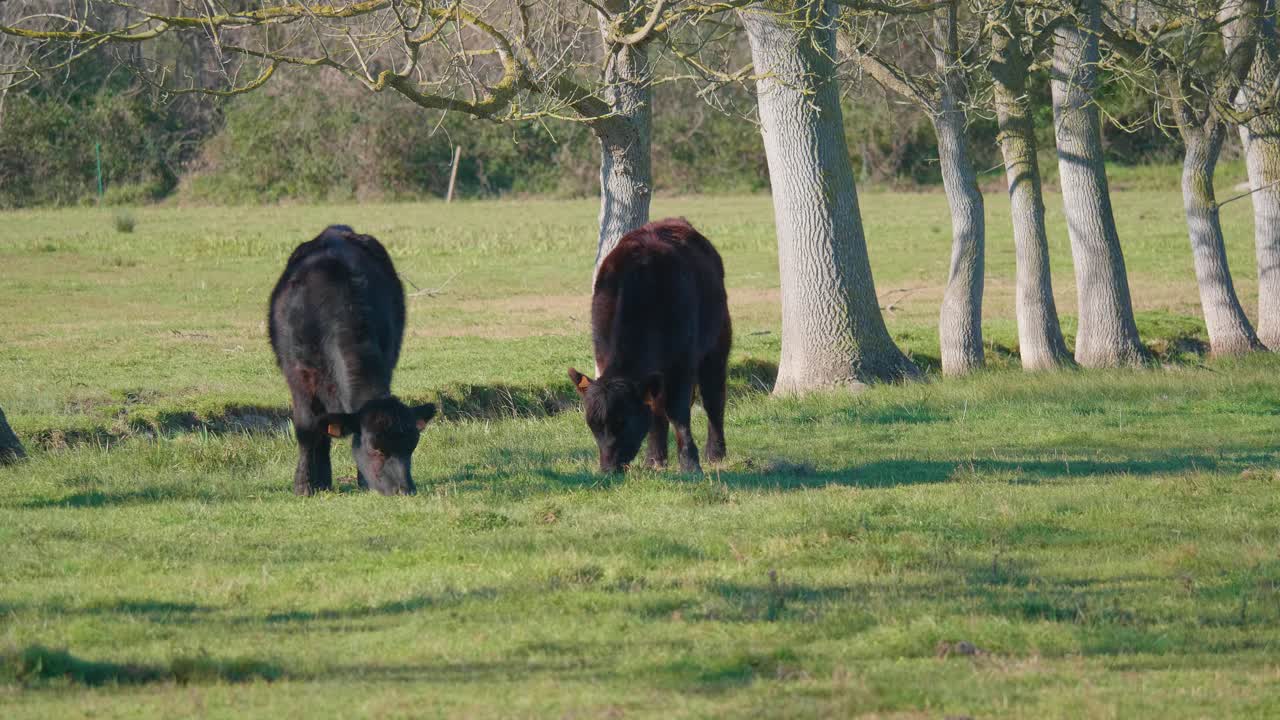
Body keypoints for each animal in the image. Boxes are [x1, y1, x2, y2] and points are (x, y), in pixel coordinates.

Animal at [269, 225, 435, 496]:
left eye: (412, 446)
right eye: (374, 448)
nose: (404, 489)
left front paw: (363, 483)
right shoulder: (299, 376)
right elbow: (307, 430)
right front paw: (306, 484)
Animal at [569, 218, 732, 474]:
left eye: (623, 421)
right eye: (593, 424)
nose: (608, 469)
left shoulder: (682, 363)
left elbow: (678, 411)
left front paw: (690, 463)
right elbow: (656, 411)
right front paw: (654, 459)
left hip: (717, 342)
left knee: (714, 397)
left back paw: (715, 452)